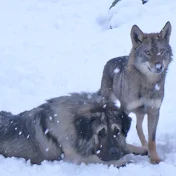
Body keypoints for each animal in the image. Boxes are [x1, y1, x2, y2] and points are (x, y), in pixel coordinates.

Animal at [0, 92, 147, 166]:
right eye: (101, 133)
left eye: (117, 131)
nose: (115, 152)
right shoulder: (77, 158)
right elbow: (102, 160)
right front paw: (125, 161)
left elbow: (127, 146)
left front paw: (143, 150)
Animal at [99, 21, 173, 164]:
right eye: (148, 53)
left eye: (161, 52)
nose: (159, 67)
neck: (147, 84)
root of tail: (110, 61)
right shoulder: (124, 111)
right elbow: (121, 134)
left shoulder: (154, 111)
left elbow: (152, 139)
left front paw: (154, 158)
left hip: (141, 112)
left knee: (138, 127)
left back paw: (145, 147)